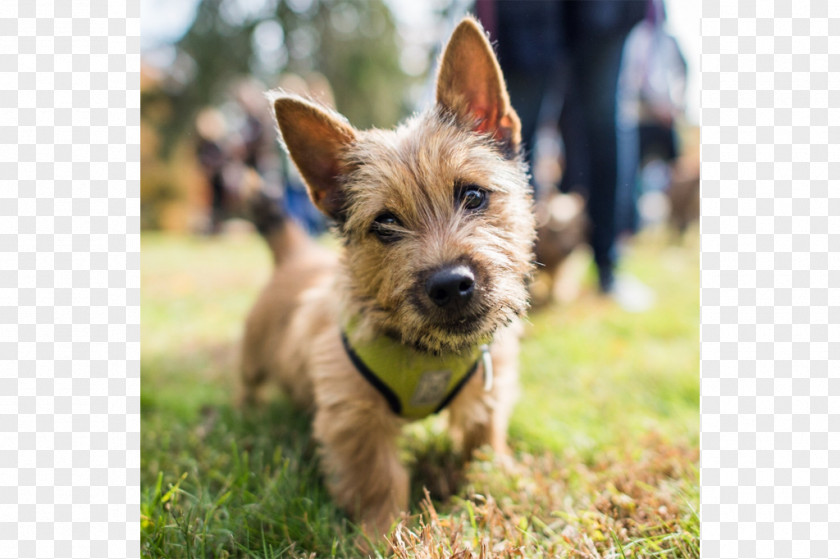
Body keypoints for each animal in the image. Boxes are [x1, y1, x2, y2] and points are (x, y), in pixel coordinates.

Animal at [240, 17, 536, 540]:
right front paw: (384, 534)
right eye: (385, 223)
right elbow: (377, 476)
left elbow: (483, 437)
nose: (451, 284)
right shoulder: (355, 417)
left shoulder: (487, 385)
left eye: (474, 195)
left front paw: (501, 479)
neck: (428, 354)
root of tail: (295, 254)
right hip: (253, 356)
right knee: (247, 383)